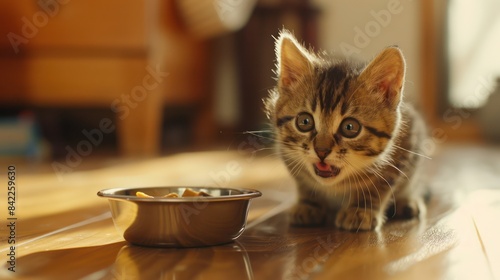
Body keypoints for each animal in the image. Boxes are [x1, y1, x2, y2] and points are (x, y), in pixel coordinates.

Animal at [266, 31, 426, 232]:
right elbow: (304, 182)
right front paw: (309, 204)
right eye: (304, 122)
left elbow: (381, 184)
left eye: (350, 127)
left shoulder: (407, 144)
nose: (321, 151)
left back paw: (408, 202)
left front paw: (360, 210)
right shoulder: (287, 154)